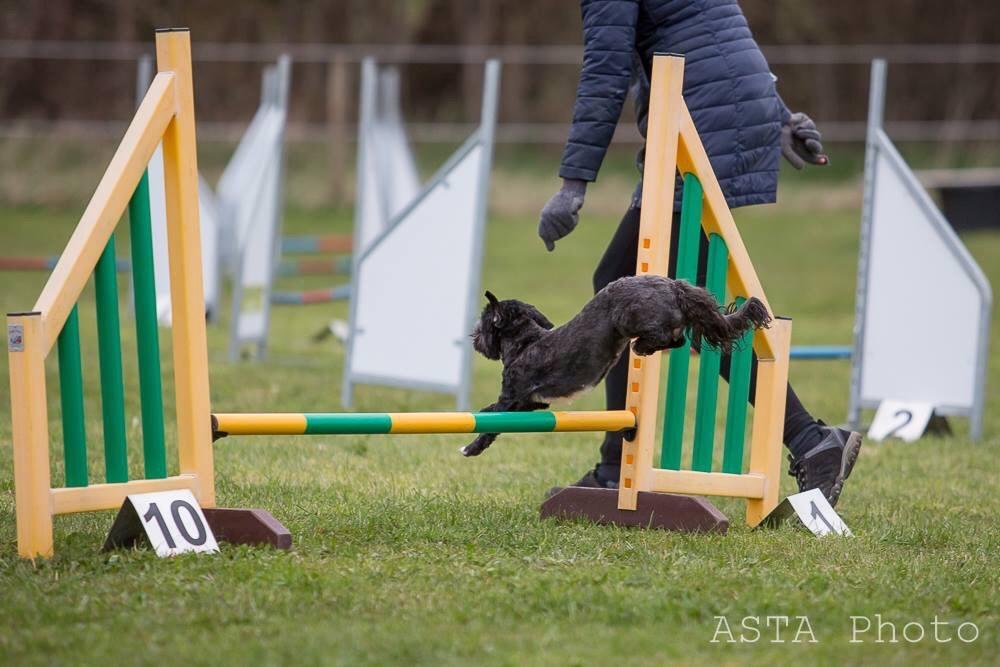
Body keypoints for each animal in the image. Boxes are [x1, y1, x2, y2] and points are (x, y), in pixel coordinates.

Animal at [460, 274, 772, 456]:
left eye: (484, 323)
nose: (473, 337)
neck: (526, 342)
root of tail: (674, 286)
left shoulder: (512, 397)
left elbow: (490, 424)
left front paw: (471, 447)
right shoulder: (533, 403)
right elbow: (491, 413)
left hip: (629, 317)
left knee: (666, 337)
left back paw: (642, 346)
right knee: (678, 340)